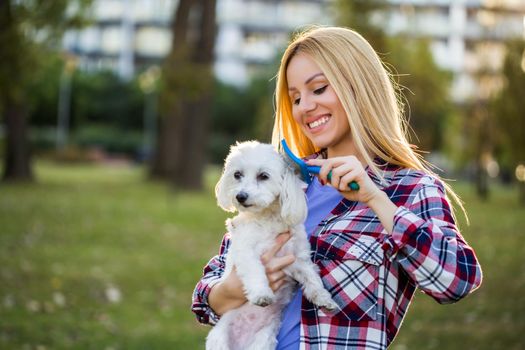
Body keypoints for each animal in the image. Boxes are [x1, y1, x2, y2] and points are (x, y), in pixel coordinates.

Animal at [205, 141, 336, 348]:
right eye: (237, 174)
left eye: (263, 176)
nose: (240, 196)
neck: (268, 218)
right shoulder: (246, 252)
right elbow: (255, 271)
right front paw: (261, 294)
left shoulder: (295, 259)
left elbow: (312, 278)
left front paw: (323, 298)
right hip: (219, 341)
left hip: (263, 341)